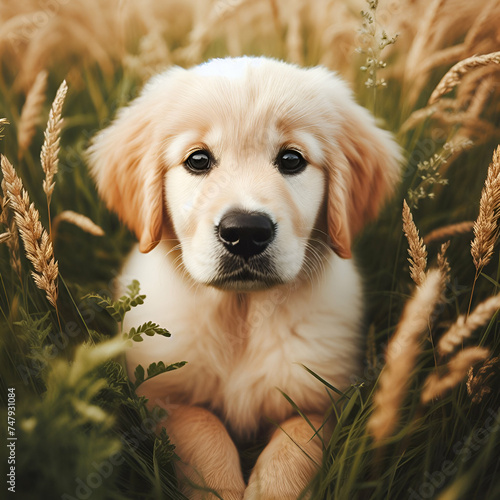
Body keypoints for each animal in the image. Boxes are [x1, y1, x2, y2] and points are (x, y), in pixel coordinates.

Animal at [88, 56, 400, 498]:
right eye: (198, 160)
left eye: (292, 160)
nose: (246, 232)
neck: (241, 314)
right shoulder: (158, 392)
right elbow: (202, 428)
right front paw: (222, 485)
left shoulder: (324, 398)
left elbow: (296, 446)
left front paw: (269, 488)